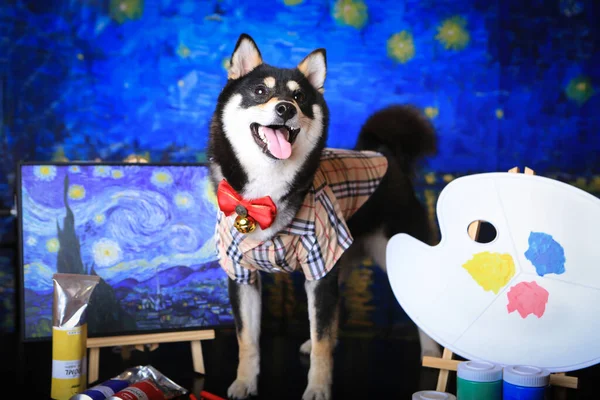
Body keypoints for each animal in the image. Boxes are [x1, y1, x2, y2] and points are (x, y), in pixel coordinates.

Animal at [207, 32, 440, 398]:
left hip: (394, 254)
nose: (286, 108)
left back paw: (430, 353)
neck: (266, 193)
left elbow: (322, 340)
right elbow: (248, 340)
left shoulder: (320, 266)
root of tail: (385, 154)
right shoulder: (243, 274)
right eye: (260, 91)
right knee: (334, 313)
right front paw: (244, 382)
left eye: (299, 96)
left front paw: (317, 387)